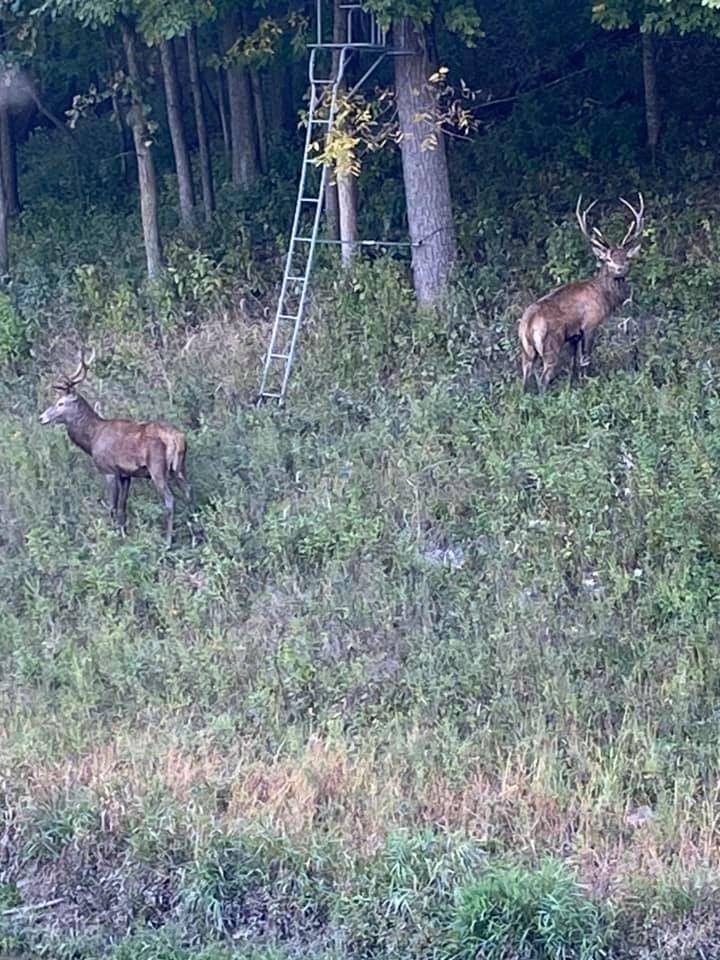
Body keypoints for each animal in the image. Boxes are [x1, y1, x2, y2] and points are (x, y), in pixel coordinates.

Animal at [39, 350, 190, 546]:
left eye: (61, 403)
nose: (41, 418)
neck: (92, 439)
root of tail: (178, 439)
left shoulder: (108, 470)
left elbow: (112, 506)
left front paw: (115, 536)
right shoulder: (126, 475)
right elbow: (122, 506)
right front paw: (124, 533)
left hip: (157, 468)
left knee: (170, 499)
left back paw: (168, 541)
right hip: (179, 468)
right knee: (188, 491)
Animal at [518, 193, 645, 391]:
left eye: (626, 258)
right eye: (608, 259)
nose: (620, 268)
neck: (605, 297)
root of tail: (529, 325)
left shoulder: (574, 336)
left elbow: (574, 363)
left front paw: (574, 385)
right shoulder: (590, 323)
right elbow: (586, 359)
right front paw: (589, 383)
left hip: (526, 351)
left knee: (525, 380)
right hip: (550, 346)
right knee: (544, 378)